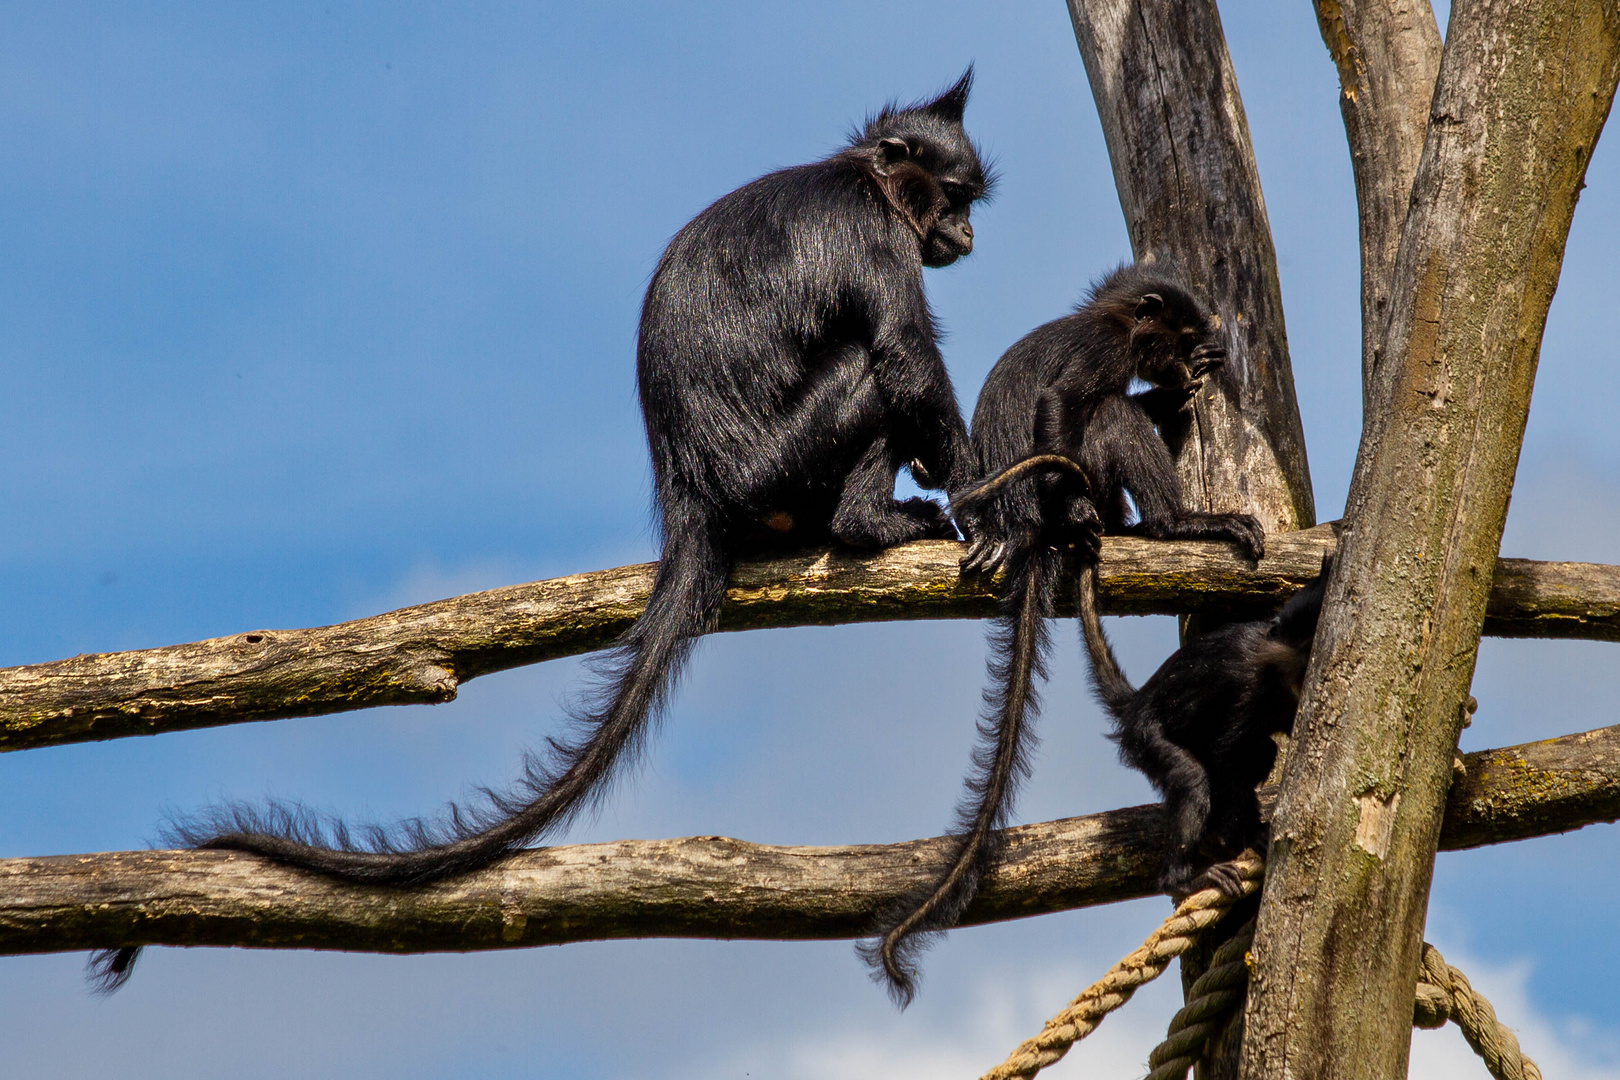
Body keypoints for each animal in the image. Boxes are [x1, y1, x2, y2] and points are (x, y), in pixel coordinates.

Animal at [94, 69, 997, 997]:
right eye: (957, 198)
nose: (965, 232)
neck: (865, 180)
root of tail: (691, 494)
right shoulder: (870, 233)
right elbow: (904, 356)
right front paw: (978, 500)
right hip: (784, 462)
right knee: (871, 366)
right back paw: (865, 524)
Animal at [861, 263, 1263, 1003]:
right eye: (1177, 334)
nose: (1181, 361)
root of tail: (1023, 526)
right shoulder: (1103, 346)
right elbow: (1062, 403)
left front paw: (1186, 382)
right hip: (1061, 485)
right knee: (1106, 414)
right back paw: (1168, 524)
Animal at [1075, 557, 1328, 893]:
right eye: (1305, 649)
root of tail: (1138, 702)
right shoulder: (1246, 679)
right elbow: (1224, 757)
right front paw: (1254, 834)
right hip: (1146, 735)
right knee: (1192, 777)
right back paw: (1180, 881)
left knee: (1263, 751)